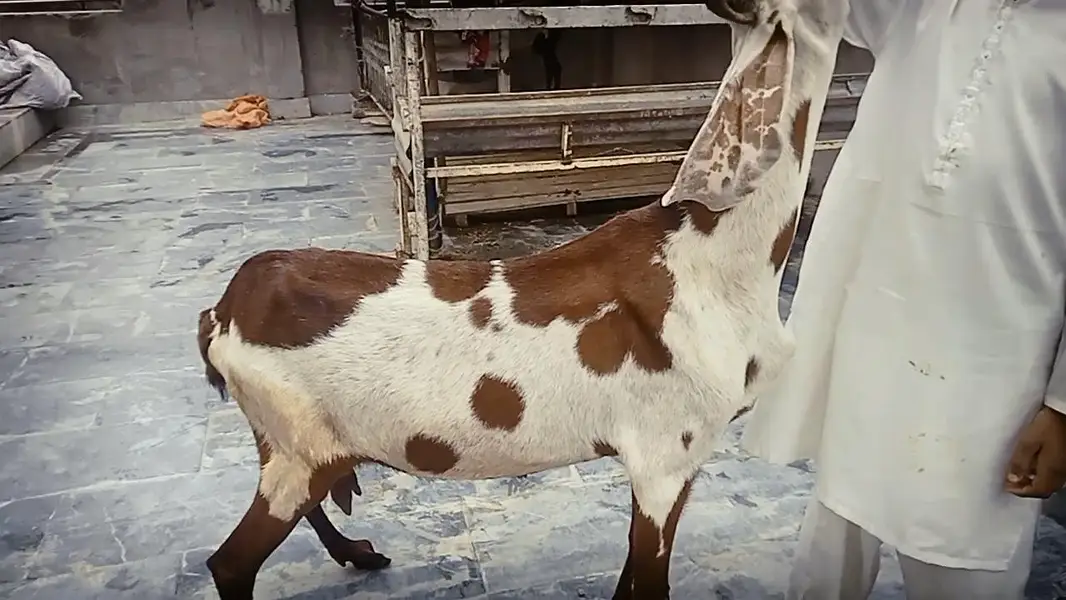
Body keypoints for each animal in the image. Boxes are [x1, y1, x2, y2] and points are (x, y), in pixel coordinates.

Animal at [195, 1, 847, 597]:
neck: (710, 256)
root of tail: (223, 314)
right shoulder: (665, 456)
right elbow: (647, 579)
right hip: (298, 446)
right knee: (231, 561)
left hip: (294, 445)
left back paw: (360, 552)